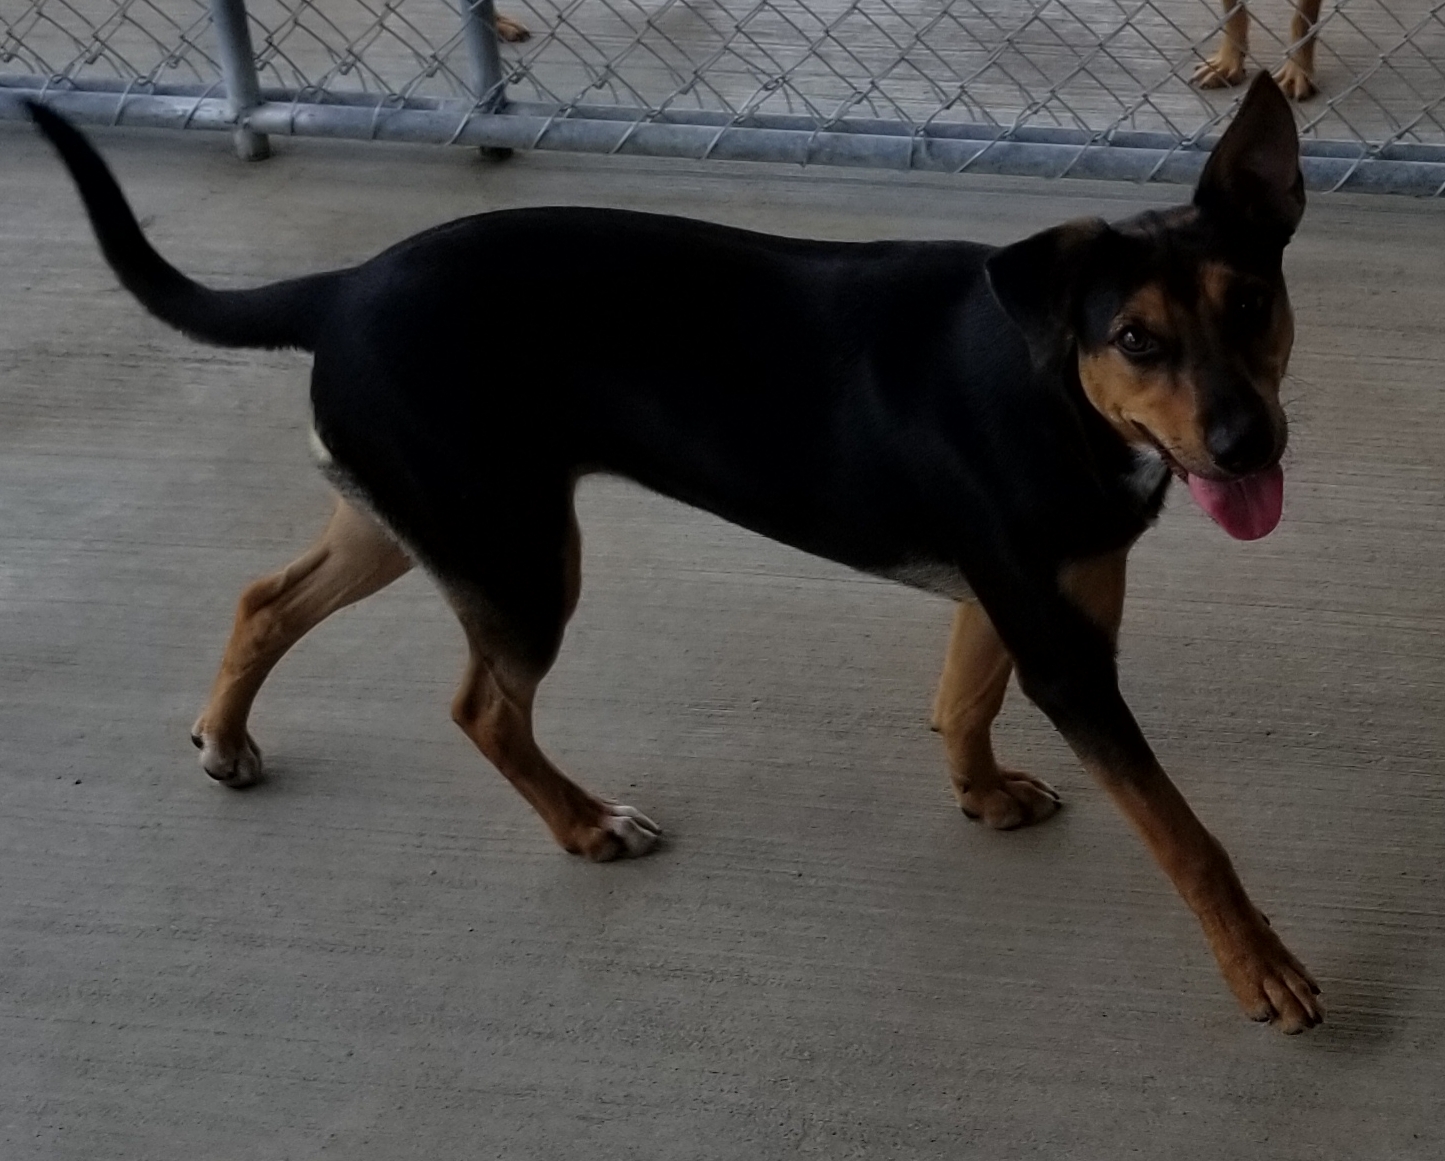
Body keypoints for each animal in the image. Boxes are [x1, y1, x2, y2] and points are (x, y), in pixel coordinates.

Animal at [28, 72, 1323, 1029]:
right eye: (1135, 337)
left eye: (1250, 304)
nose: (1245, 442)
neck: (1053, 380)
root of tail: (340, 286)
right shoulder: (1062, 649)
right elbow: (1183, 833)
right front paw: (1259, 966)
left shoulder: (1018, 598)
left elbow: (960, 699)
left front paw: (981, 794)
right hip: (515, 557)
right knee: (481, 709)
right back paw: (584, 826)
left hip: (416, 516)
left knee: (265, 597)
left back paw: (226, 737)